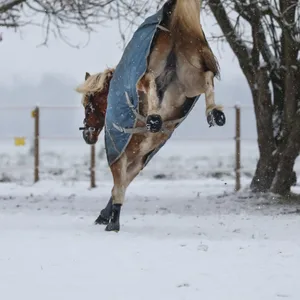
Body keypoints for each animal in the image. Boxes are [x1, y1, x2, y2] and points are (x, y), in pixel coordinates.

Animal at [75, 0, 225, 232]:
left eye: (88, 106)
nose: (87, 134)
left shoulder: (125, 157)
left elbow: (118, 186)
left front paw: (111, 221)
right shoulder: (139, 159)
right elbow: (121, 185)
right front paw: (107, 215)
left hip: (163, 70)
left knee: (146, 79)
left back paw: (154, 118)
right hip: (189, 77)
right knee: (207, 76)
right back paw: (214, 114)